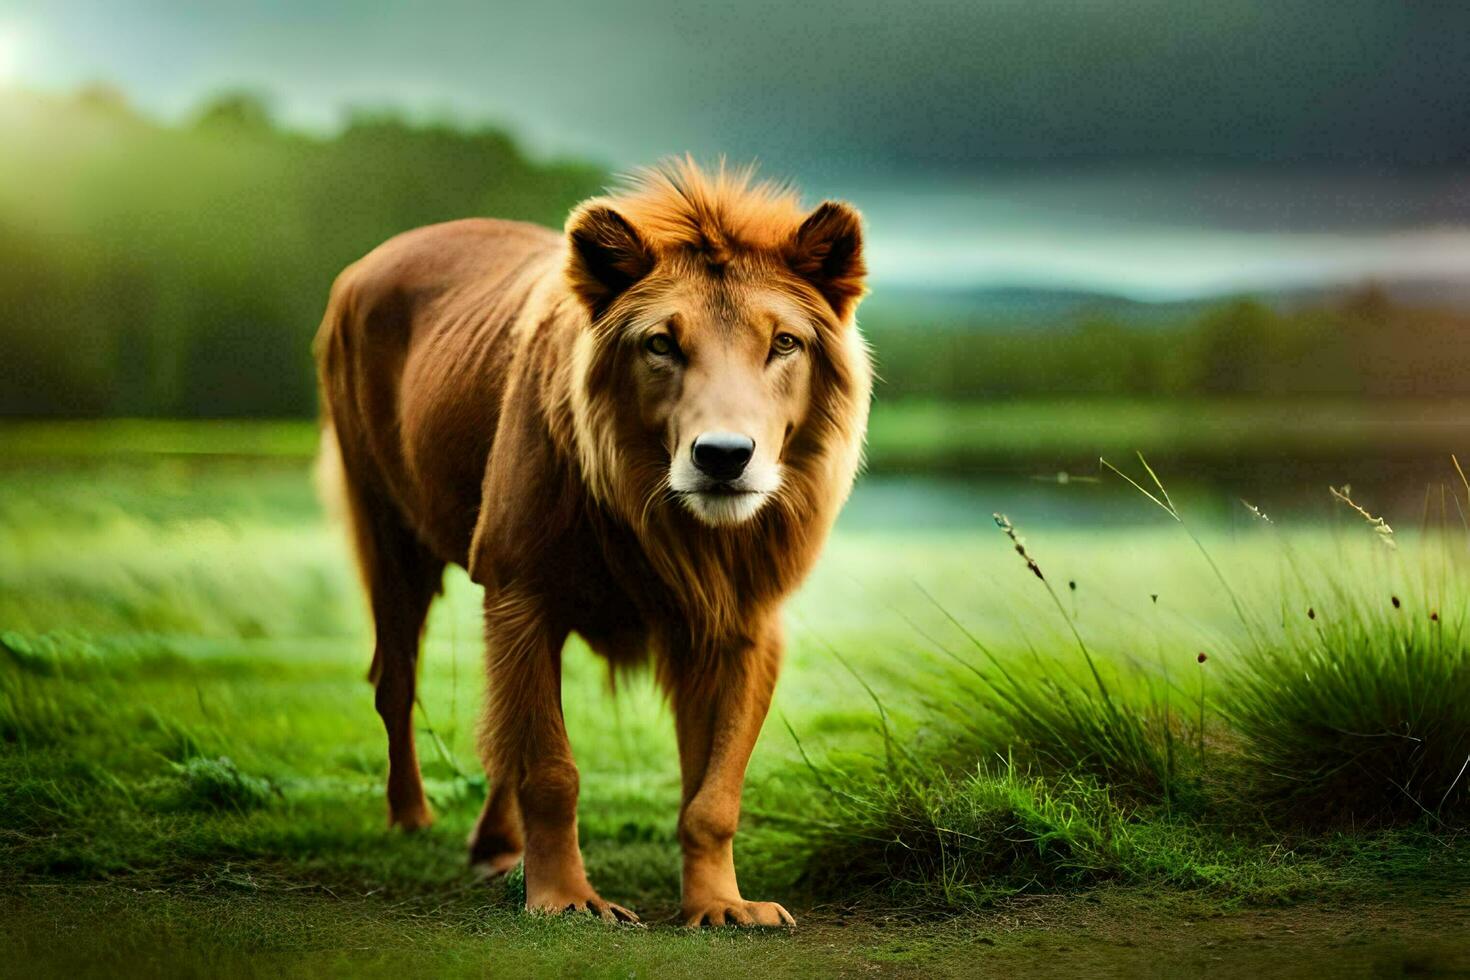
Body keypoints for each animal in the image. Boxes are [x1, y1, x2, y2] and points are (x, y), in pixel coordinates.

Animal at [310, 159, 858, 928]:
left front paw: (721, 905)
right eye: (661, 343)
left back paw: (497, 847)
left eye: (783, 343)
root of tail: (366, 265)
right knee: (397, 682)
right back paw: (412, 818)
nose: (723, 456)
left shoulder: (744, 619)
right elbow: (550, 769)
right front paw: (567, 901)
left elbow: (713, 792)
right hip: (390, 533)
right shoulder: (521, 591)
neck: (670, 520)